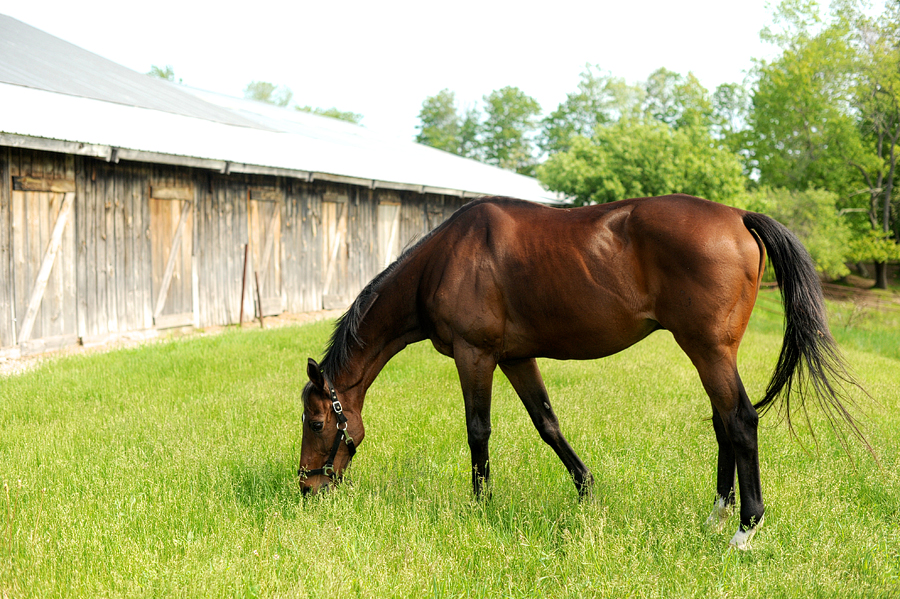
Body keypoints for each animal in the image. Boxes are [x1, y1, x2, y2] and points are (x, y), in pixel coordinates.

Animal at [298, 196, 864, 548]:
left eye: (318, 422)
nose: (307, 489)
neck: (444, 261)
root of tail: (739, 216)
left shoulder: (474, 354)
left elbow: (478, 430)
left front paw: (480, 506)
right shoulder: (515, 357)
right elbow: (547, 423)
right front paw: (587, 489)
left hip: (708, 349)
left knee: (741, 421)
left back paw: (744, 530)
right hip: (708, 352)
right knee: (724, 421)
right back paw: (716, 514)